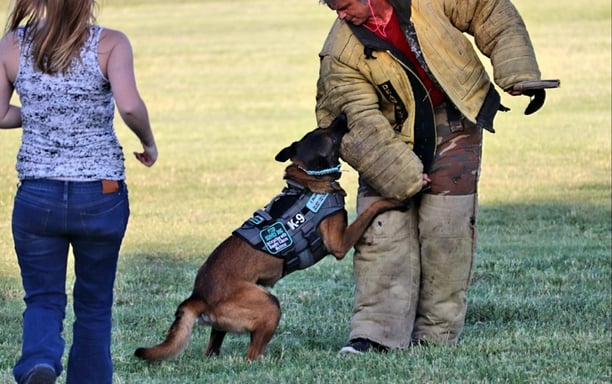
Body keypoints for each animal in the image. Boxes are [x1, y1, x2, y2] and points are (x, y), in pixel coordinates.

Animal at [134, 115, 402, 362]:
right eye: (330, 133)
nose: (342, 117)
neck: (308, 180)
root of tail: (198, 297)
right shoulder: (339, 243)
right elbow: (368, 212)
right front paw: (393, 199)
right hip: (269, 305)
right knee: (251, 355)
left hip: (226, 325)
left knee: (213, 349)